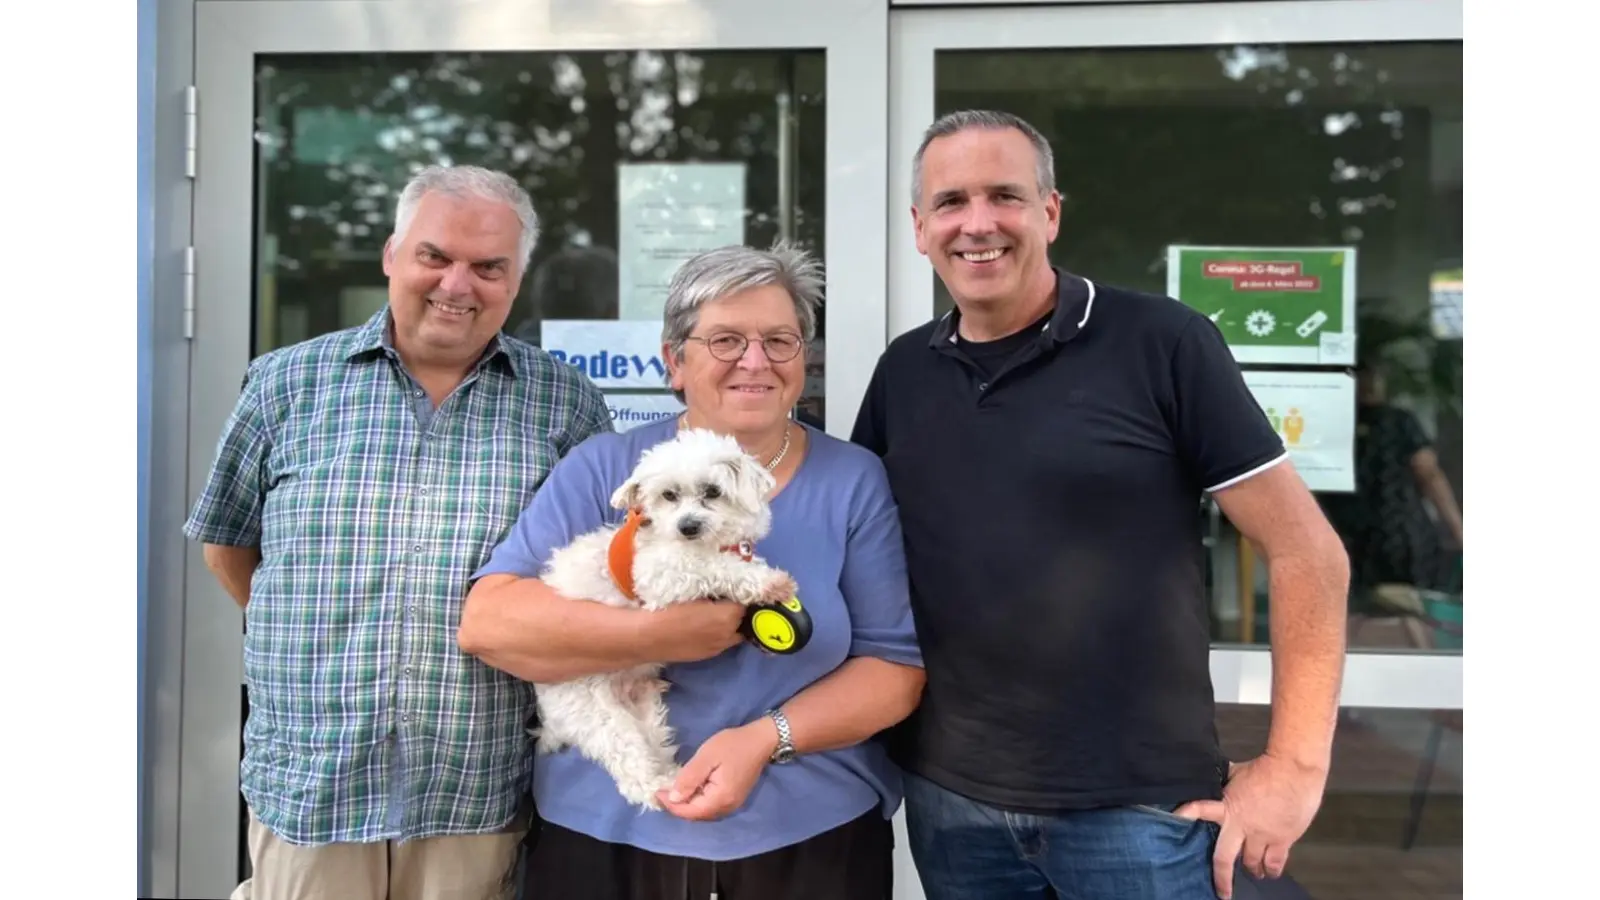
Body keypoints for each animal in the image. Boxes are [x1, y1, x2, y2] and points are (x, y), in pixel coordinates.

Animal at [534, 425, 796, 807]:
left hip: (648, 714)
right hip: (599, 717)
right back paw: (658, 789)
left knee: (655, 743)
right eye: (668, 495)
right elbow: (711, 566)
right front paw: (767, 582)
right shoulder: (658, 575)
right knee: (631, 770)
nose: (687, 526)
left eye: (713, 491)